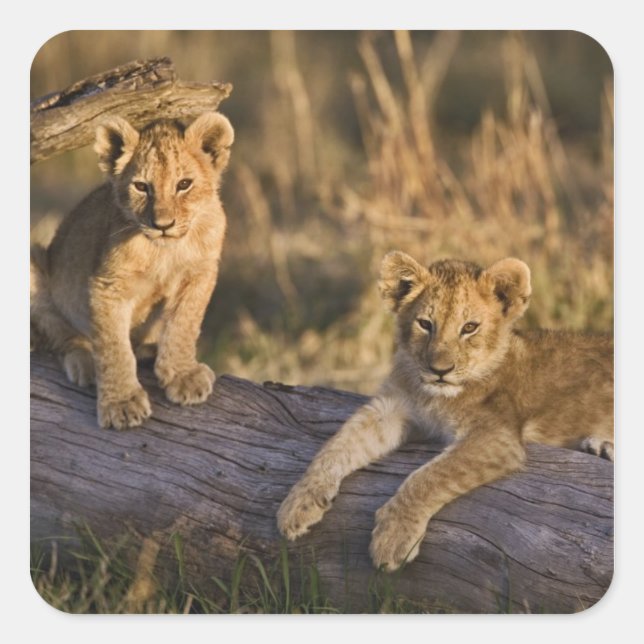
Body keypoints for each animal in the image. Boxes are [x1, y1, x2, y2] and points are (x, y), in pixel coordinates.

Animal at [30, 112, 234, 430]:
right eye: (141, 187)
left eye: (184, 184)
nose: (162, 224)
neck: (165, 250)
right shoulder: (107, 285)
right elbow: (113, 346)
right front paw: (121, 404)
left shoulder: (200, 273)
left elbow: (184, 323)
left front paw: (182, 375)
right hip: (35, 259)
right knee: (61, 334)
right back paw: (86, 365)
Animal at [277, 251, 613, 571]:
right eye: (425, 324)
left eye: (470, 328)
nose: (440, 370)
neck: (436, 397)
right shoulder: (390, 408)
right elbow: (336, 445)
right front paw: (297, 504)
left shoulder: (497, 438)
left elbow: (429, 476)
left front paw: (393, 538)